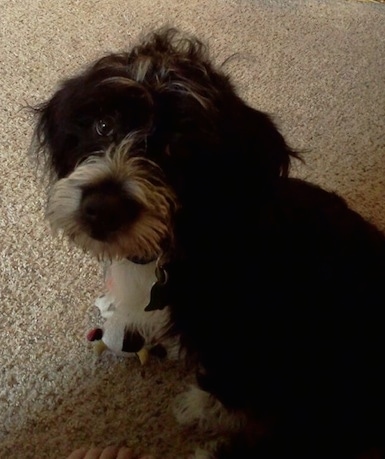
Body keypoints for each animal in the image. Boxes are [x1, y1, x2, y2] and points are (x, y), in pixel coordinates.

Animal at [30, 29, 384, 459]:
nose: (101, 208)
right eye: (102, 125)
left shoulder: (239, 337)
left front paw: (199, 408)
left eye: (181, 147)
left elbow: (225, 383)